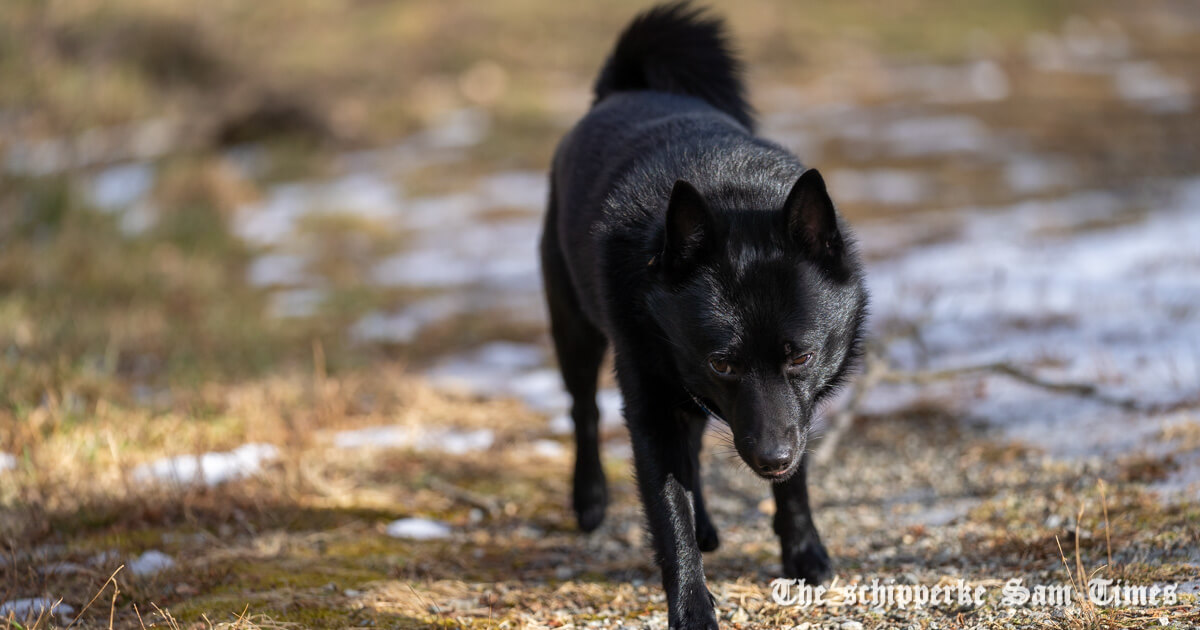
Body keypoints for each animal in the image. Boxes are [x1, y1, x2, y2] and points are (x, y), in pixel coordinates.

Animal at [540, 3, 868, 624]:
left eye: (801, 356)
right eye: (723, 364)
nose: (769, 458)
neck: (730, 193)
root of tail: (626, 86)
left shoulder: (794, 411)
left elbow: (792, 484)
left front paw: (803, 552)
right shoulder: (650, 404)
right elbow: (669, 514)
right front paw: (692, 607)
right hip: (574, 326)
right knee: (583, 410)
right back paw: (589, 500)